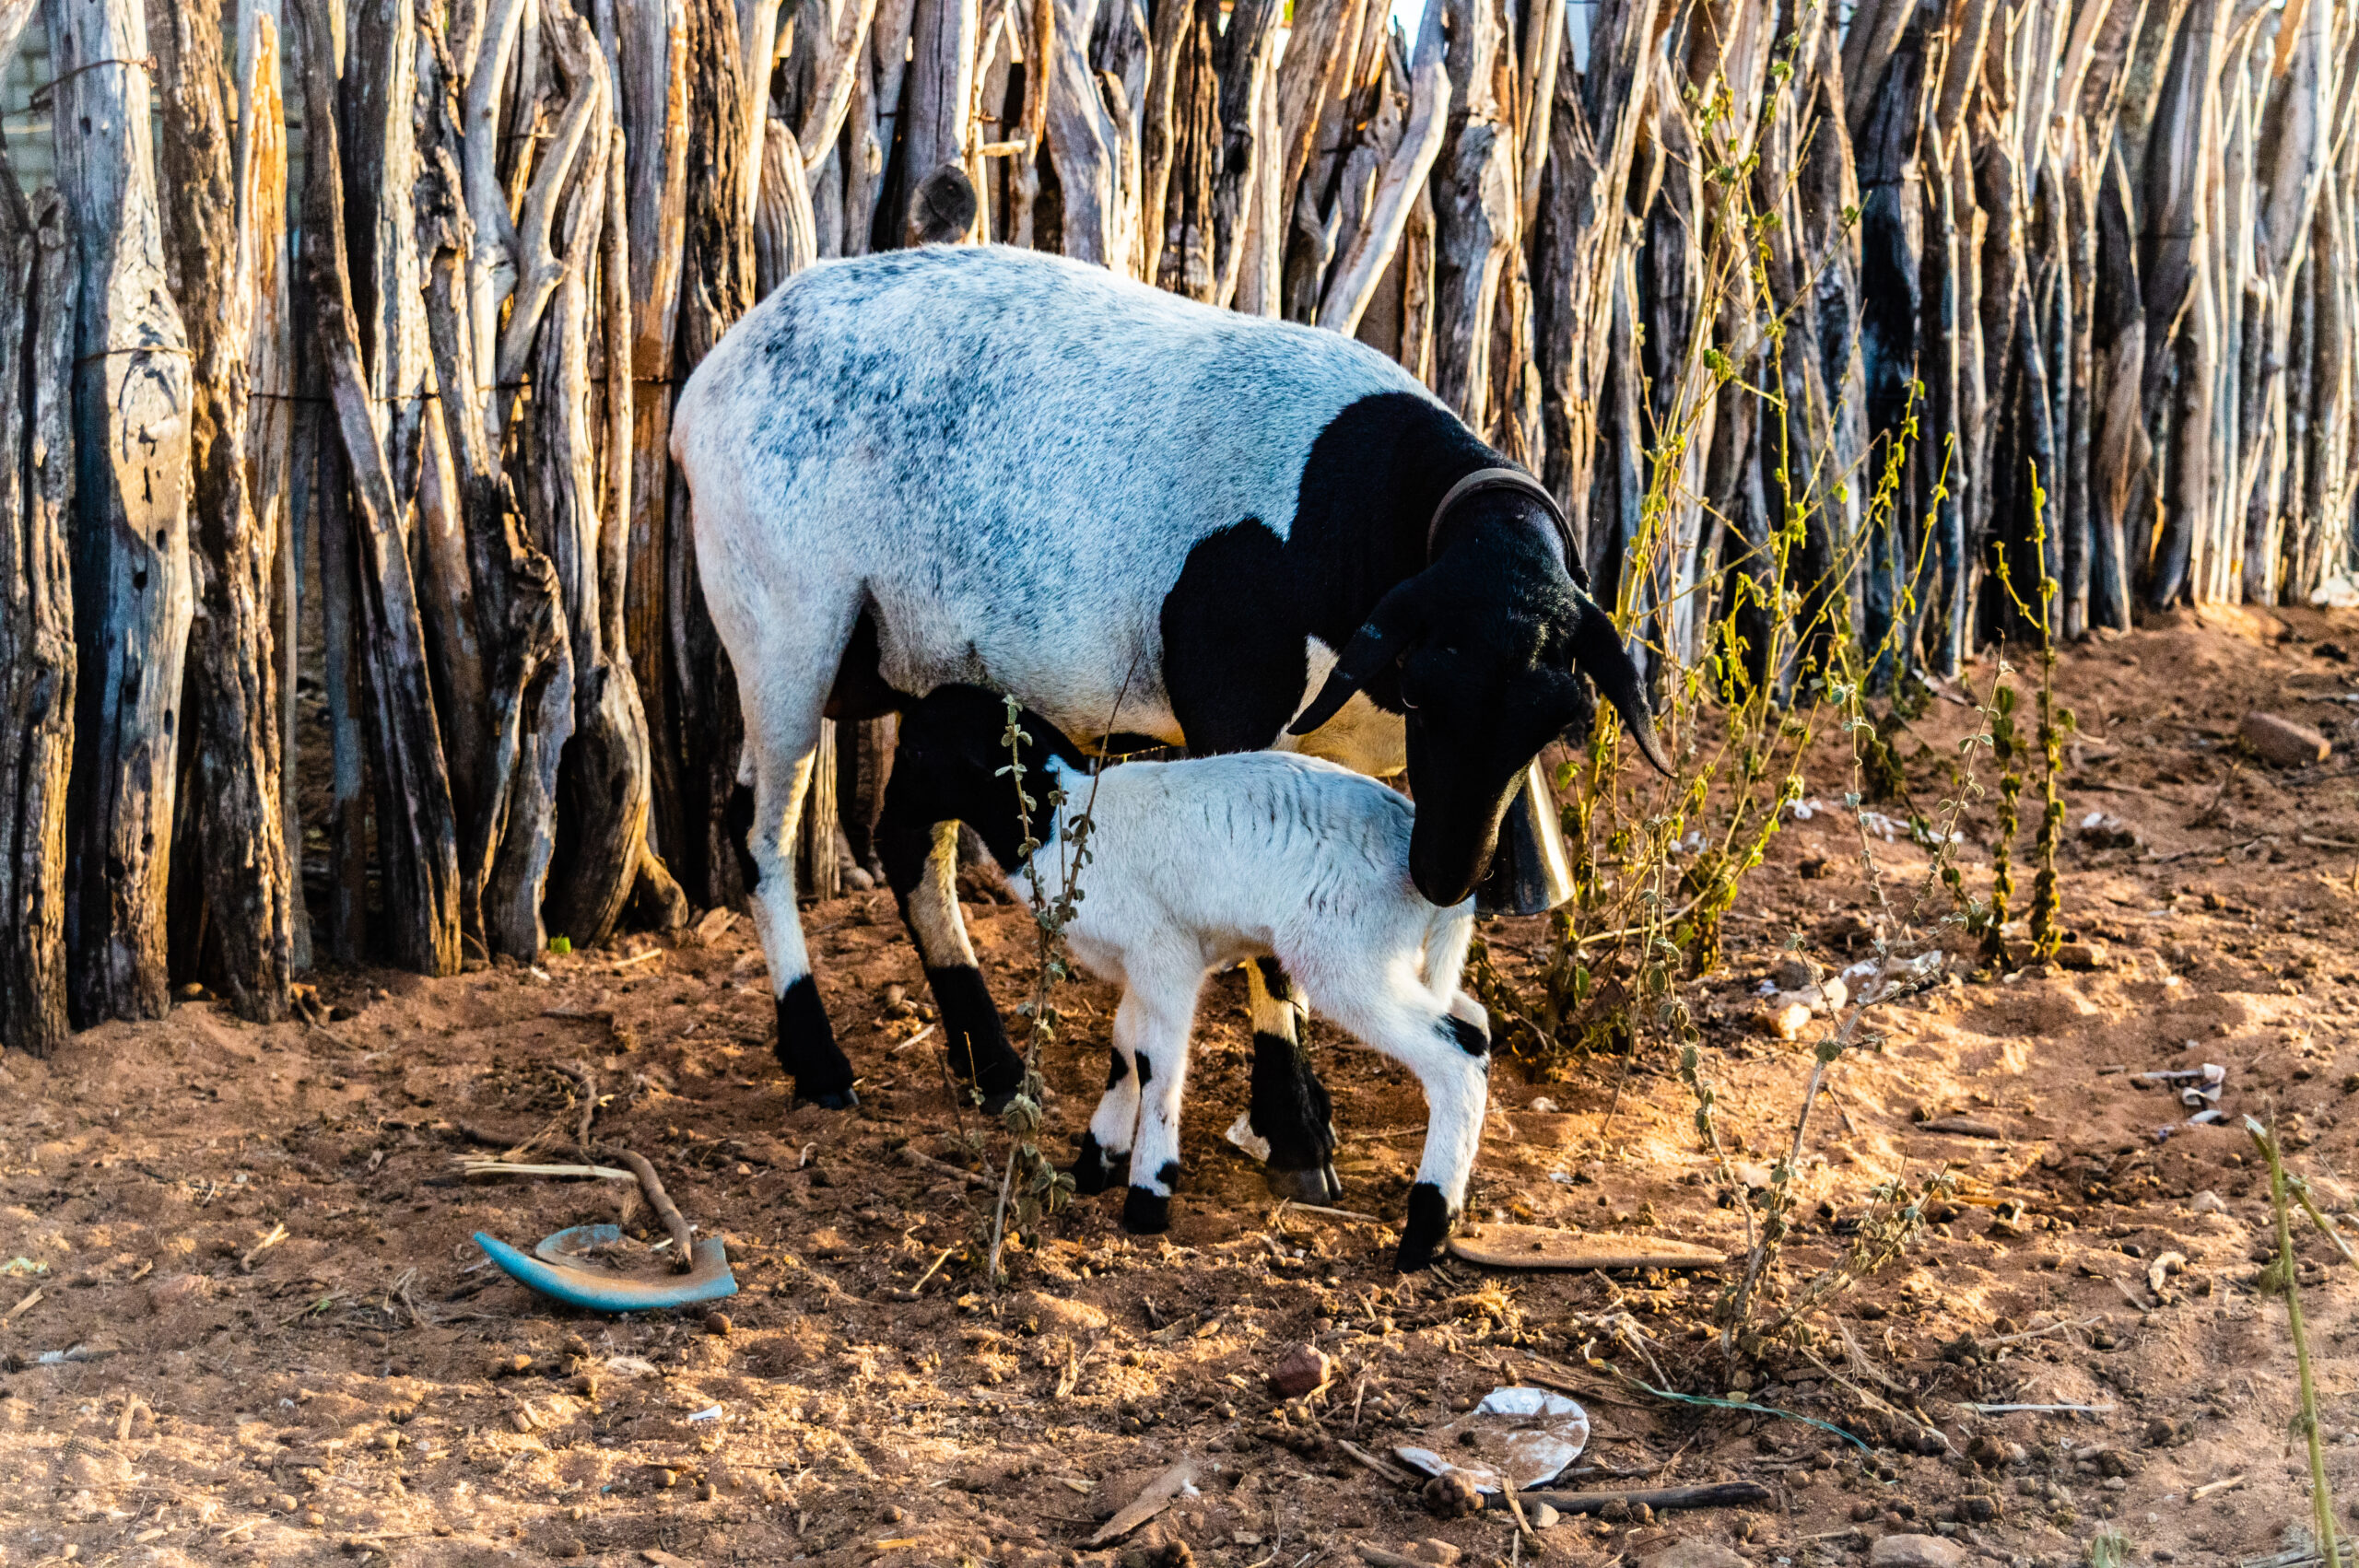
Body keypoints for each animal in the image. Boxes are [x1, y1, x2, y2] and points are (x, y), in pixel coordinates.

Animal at [664, 238, 1661, 1193]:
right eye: (1423, 692)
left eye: (1555, 724)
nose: (1450, 878)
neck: (1364, 511)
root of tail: (712, 378)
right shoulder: (1234, 713)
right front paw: (1294, 1132)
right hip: (785, 619)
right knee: (759, 833)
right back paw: (818, 1056)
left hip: (927, 659)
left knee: (909, 839)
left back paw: (993, 1065)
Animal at [886, 684, 1490, 1273]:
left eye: (913, 752)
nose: (890, 816)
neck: (1064, 823)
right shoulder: (1140, 963)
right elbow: (1123, 1052)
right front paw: (1095, 1163)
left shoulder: (1165, 956)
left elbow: (1157, 1064)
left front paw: (1148, 1195)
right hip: (1390, 955)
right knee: (1475, 1022)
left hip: (1343, 955)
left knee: (1458, 1057)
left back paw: (1425, 1233)